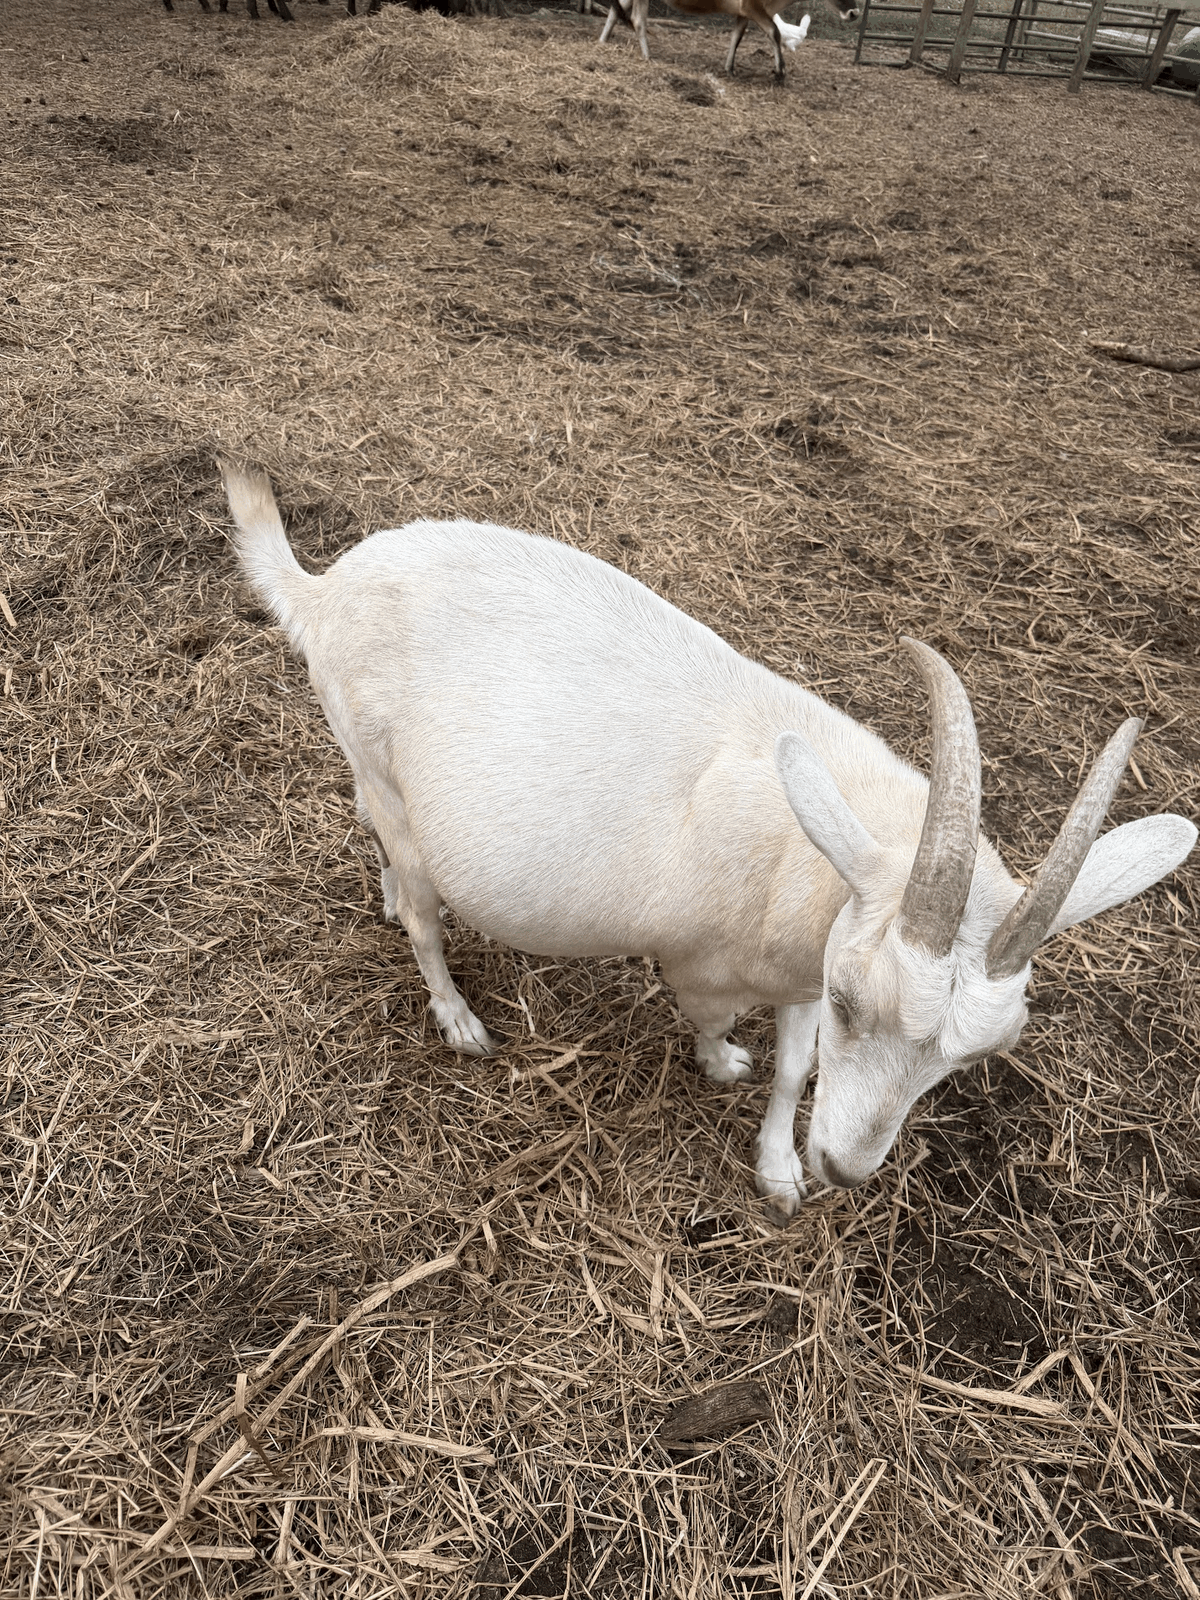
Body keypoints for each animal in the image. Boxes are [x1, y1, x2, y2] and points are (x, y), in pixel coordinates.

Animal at [220, 460, 1196, 1215]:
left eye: (984, 1053)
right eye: (855, 1002)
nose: (846, 1167)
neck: (808, 855)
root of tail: (324, 589)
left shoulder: (805, 967)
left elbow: (796, 1068)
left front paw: (781, 1173)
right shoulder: (703, 965)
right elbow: (714, 1022)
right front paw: (722, 1063)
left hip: (372, 773)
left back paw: (390, 898)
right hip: (389, 779)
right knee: (425, 914)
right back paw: (457, 1017)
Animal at [599, 0, 857, 78]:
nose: (854, 13)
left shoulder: (743, 12)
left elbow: (737, 37)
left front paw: (730, 68)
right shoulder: (754, 7)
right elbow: (773, 31)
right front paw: (780, 71)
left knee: (615, 11)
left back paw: (602, 41)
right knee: (638, 20)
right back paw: (647, 55)